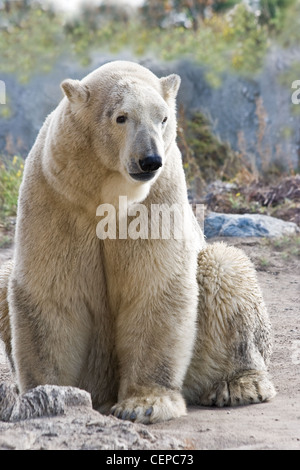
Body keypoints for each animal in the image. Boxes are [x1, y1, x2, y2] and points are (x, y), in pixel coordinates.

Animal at [0, 60, 274, 424]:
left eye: (164, 117)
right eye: (121, 117)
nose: (150, 160)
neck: (107, 193)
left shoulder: (157, 197)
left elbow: (154, 286)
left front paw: (145, 404)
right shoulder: (55, 194)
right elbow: (51, 291)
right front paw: (47, 393)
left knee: (225, 268)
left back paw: (239, 385)